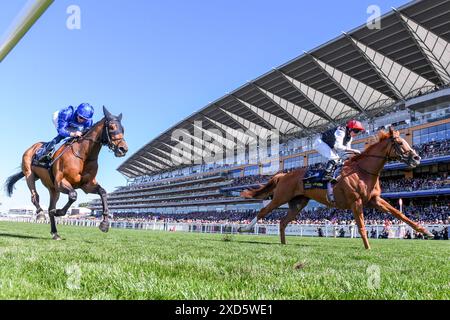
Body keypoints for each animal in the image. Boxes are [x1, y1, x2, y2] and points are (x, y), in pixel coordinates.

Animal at [4, 107, 128, 240]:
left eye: (123, 129)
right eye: (112, 127)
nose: (123, 149)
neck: (83, 155)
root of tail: (32, 147)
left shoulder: (86, 185)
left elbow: (103, 192)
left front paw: (104, 224)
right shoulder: (60, 182)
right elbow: (73, 195)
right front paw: (58, 212)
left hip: (53, 189)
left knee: (50, 206)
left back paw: (55, 232)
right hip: (30, 175)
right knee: (34, 196)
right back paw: (41, 213)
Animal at [239, 126, 432, 249]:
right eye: (399, 143)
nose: (416, 158)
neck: (363, 170)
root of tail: (283, 174)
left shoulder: (374, 200)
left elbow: (399, 214)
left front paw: (425, 231)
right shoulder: (356, 202)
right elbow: (361, 225)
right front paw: (368, 247)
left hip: (298, 203)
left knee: (282, 221)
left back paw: (284, 243)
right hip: (281, 197)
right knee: (263, 212)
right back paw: (244, 229)